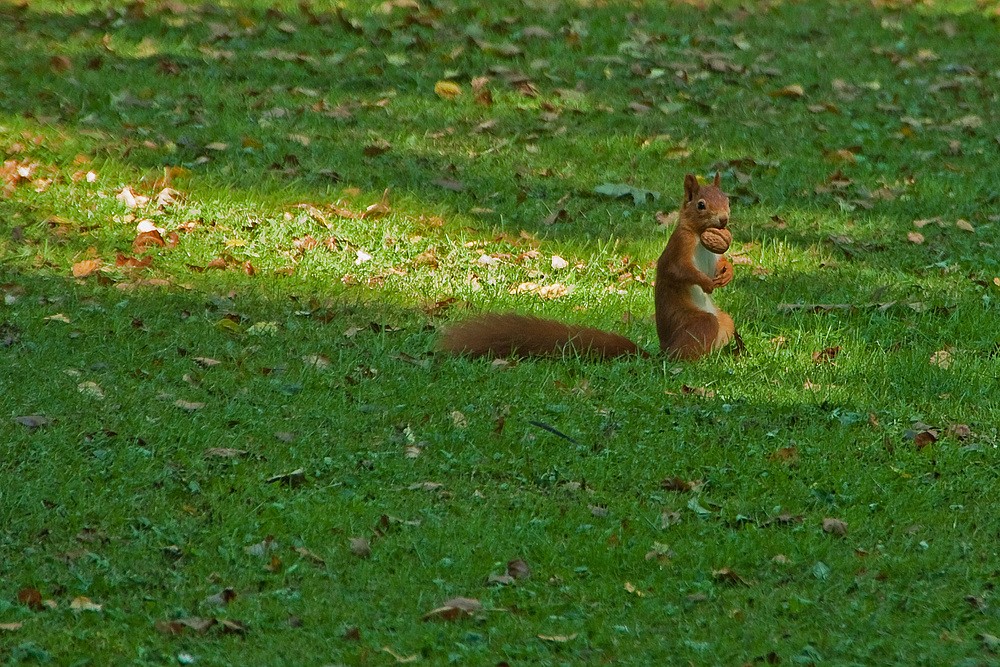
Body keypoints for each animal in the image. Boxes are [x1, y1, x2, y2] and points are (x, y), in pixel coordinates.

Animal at [442, 172, 740, 360]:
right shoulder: (679, 248)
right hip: (694, 323)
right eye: (700, 205)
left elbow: (721, 262)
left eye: (727, 199)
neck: (700, 236)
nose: (724, 220)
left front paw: (727, 273)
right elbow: (680, 271)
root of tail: (662, 352)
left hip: (725, 320)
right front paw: (705, 282)